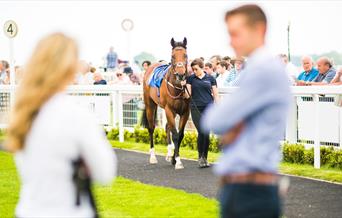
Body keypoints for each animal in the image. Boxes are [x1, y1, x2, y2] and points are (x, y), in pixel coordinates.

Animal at [141, 37, 190, 170]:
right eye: (173, 56)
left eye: (185, 55)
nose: (180, 74)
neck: (178, 88)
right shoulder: (169, 109)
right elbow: (175, 135)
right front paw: (178, 161)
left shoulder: (185, 112)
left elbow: (180, 134)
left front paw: (174, 158)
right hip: (150, 105)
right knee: (151, 128)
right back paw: (153, 157)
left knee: (167, 127)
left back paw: (168, 154)